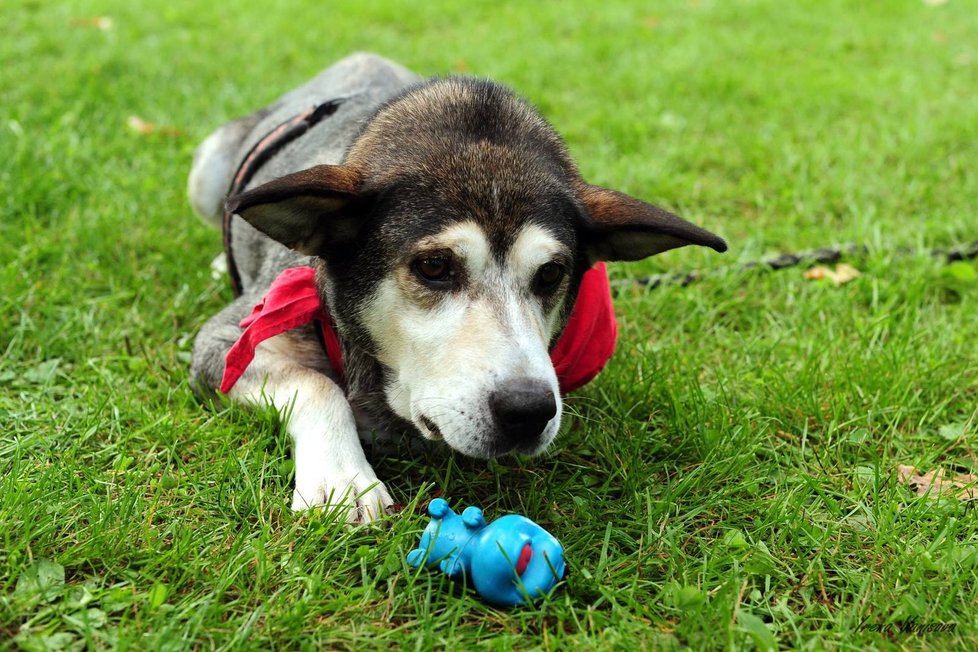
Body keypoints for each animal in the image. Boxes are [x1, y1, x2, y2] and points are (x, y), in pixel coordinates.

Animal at [189, 52, 724, 524]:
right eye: (433, 266)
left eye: (551, 274)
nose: (528, 410)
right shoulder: (226, 342)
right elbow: (318, 384)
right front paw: (344, 480)